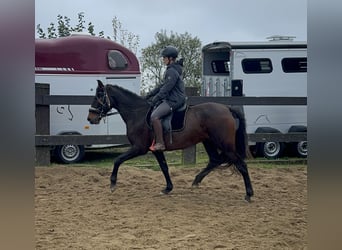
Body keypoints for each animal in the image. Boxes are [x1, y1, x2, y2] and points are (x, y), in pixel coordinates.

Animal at [88, 80, 254, 201]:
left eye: (99, 95)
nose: (91, 118)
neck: (137, 113)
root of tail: (227, 109)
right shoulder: (156, 149)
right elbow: (164, 167)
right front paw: (168, 188)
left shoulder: (139, 148)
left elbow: (118, 160)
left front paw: (112, 184)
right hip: (209, 142)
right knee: (215, 160)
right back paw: (196, 181)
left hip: (224, 144)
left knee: (241, 165)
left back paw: (248, 194)